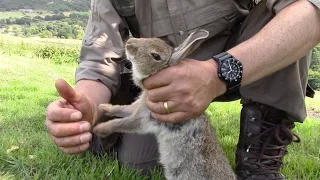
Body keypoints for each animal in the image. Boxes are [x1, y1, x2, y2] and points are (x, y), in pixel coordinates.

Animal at [92, 29, 235, 180]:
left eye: (155, 56)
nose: (130, 43)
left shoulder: (145, 119)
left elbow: (122, 123)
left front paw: (100, 128)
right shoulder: (137, 108)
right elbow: (122, 109)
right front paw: (104, 107)